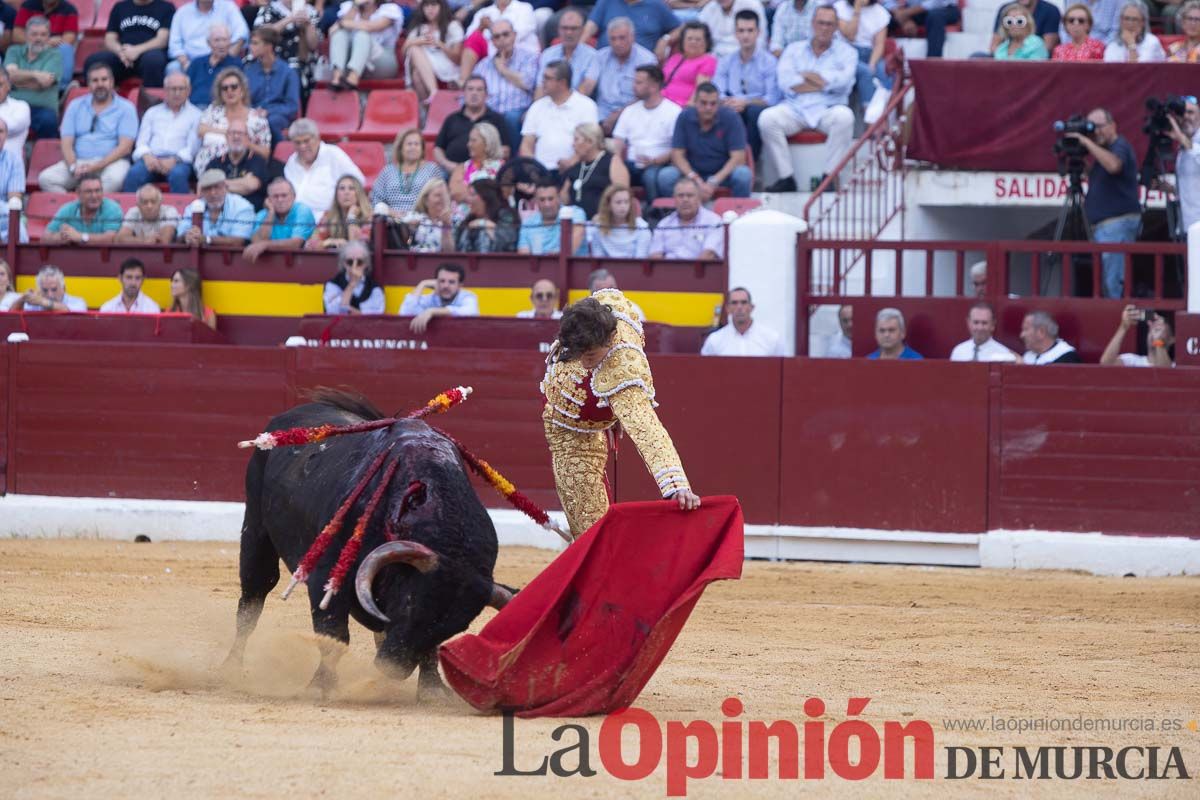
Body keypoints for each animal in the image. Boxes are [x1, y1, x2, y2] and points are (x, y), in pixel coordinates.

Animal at [225, 391, 511, 695]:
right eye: (409, 602)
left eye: (457, 626)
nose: (393, 667)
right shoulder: (327, 576)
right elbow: (334, 634)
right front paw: (322, 686)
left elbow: (430, 651)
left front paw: (432, 690)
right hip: (256, 531)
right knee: (252, 601)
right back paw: (230, 669)